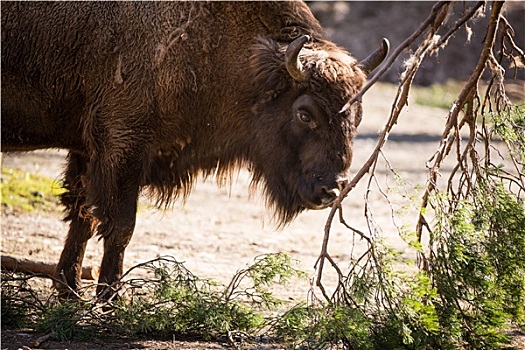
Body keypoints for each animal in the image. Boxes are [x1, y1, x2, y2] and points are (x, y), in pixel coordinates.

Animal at [2, 2, 386, 298]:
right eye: (305, 113)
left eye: (358, 115)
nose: (330, 189)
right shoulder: (123, 145)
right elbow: (120, 225)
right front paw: (110, 298)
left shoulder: (87, 150)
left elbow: (82, 215)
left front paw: (69, 290)